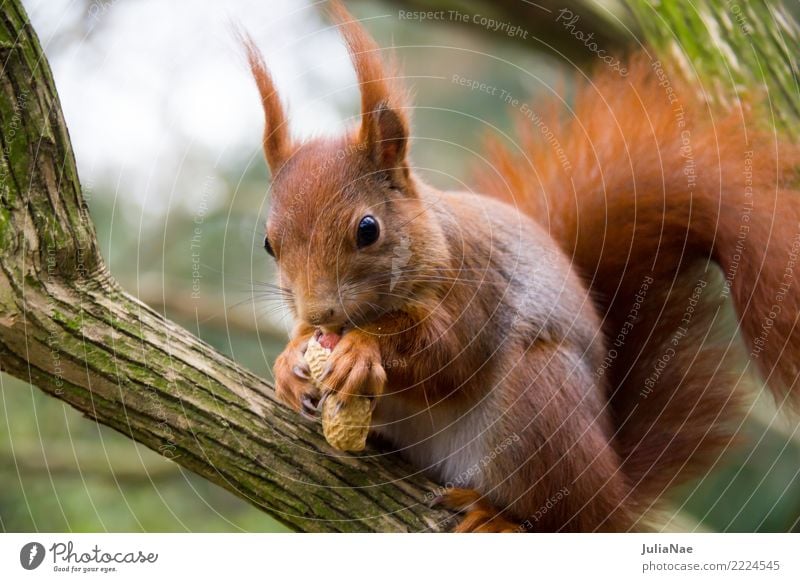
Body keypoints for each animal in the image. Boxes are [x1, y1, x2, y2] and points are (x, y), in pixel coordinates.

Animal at [244, 1, 800, 532]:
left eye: (368, 229)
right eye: (269, 244)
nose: (320, 314)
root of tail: (613, 493)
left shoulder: (474, 287)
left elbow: (446, 354)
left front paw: (363, 349)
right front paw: (289, 364)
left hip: (541, 403)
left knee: (559, 517)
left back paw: (498, 517)